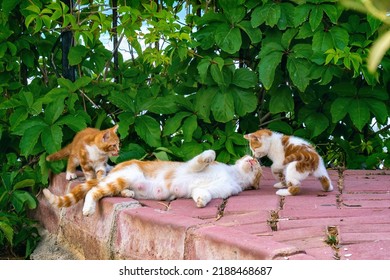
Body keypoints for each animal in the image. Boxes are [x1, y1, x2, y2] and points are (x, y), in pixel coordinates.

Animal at [42, 150, 262, 215]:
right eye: (251, 157)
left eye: (259, 165)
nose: (253, 160)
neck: (233, 175)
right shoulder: (192, 165)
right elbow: (206, 156)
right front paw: (209, 155)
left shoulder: (216, 190)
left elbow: (203, 193)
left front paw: (200, 201)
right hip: (125, 176)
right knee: (93, 191)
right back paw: (88, 209)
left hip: (120, 182)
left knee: (103, 190)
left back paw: (128, 194)